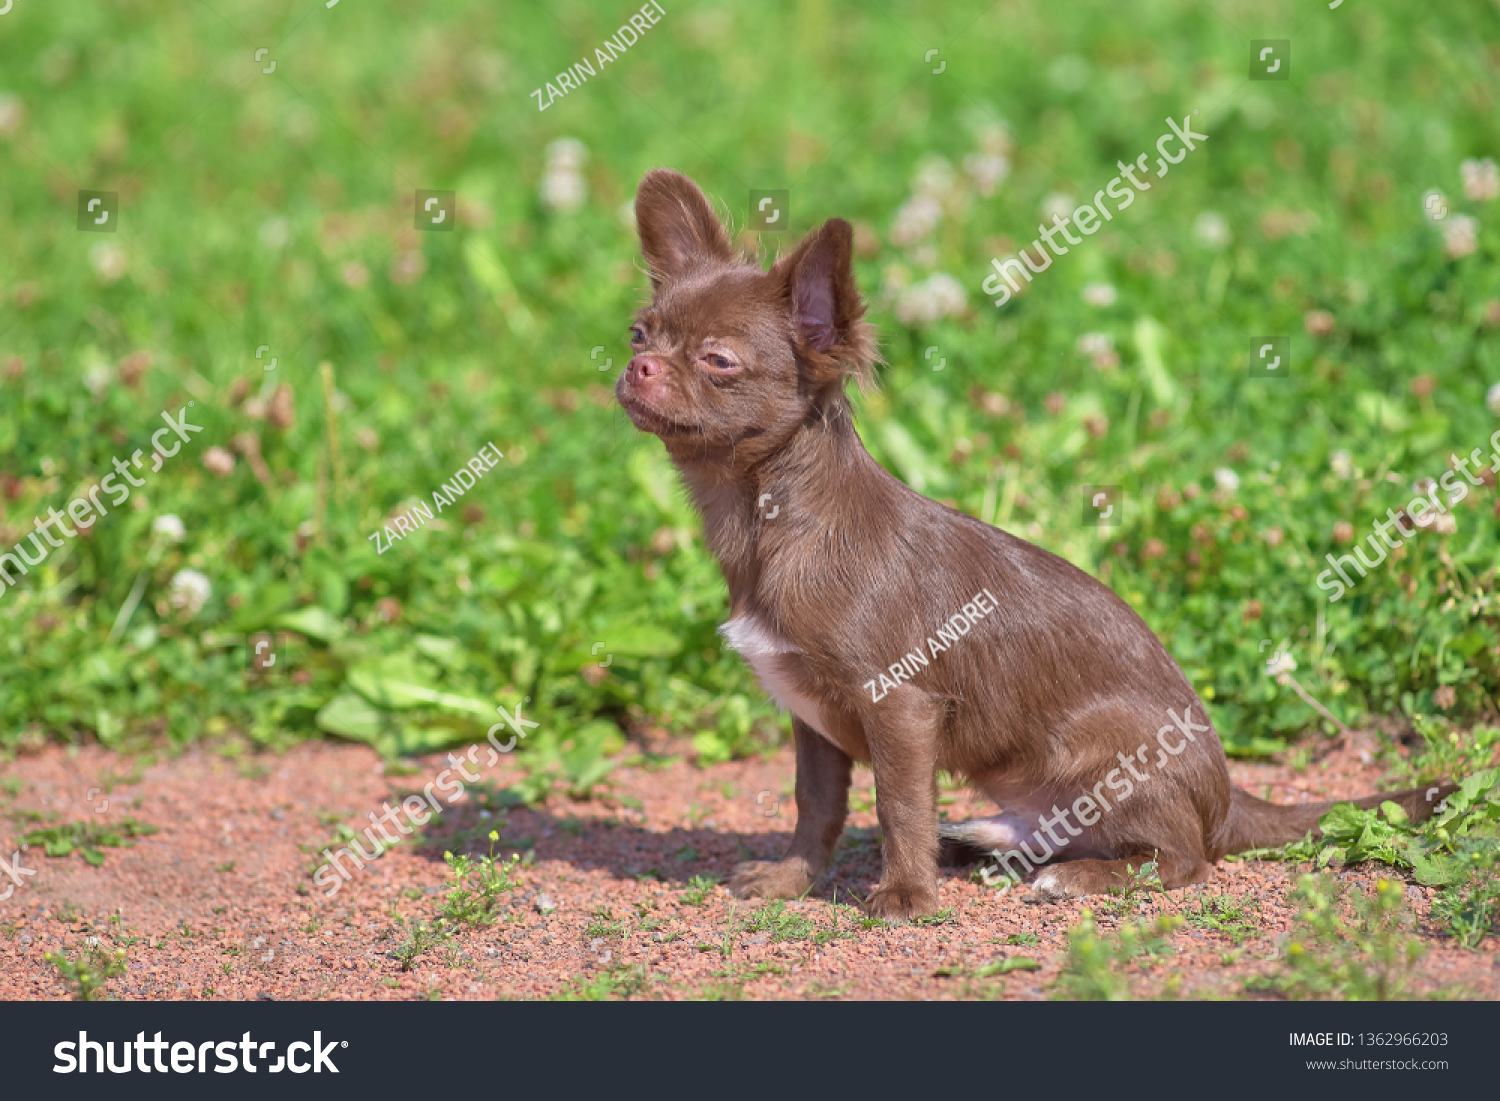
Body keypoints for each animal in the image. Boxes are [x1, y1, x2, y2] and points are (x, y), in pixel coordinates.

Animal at [615, 165, 1446, 924]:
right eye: (639, 332)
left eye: (718, 360)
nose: (637, 365)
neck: (767, 517)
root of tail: (1229, 798)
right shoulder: (809, 715)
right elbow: (815, 806)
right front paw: (791, 879)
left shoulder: (899, 703)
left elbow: (898, 807)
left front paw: (905, 895)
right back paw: (985, 843)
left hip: (1104, 748)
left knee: (1184, 858)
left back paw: (1075, 874)